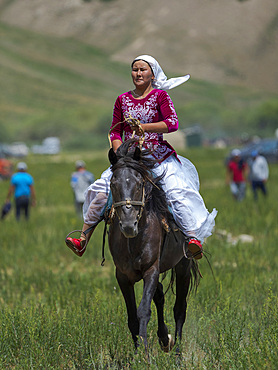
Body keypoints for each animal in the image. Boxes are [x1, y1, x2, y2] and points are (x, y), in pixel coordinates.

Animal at [107, 140, 199, 354]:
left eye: (140, 183)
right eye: (113, 184)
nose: (129, 224)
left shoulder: (151, 269)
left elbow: (143, 311)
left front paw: (145, 354)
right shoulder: (122, 276)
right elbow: (132, 317)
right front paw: (137, 353)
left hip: (183, 266)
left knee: (179, 310)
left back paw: (176, 352)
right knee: (160, 296)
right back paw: (165, 338)